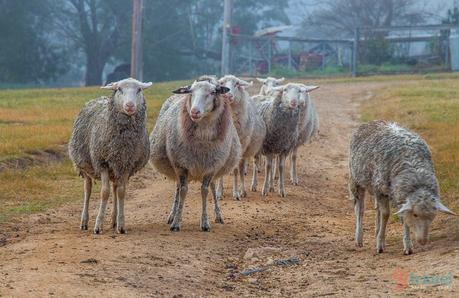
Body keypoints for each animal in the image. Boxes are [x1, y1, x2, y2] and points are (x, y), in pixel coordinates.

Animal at [68, 76, 153, 233]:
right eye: (119, 89)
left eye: (139, 89)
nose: (130, 105)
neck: (122, 143)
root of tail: (98, 98)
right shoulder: (102, 163)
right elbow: (104, 192)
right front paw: (98, 226)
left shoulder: (126, 164)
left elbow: (121, 192)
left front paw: (121, 225)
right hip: (85, 164)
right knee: (87, 189)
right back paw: (84, 221)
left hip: (116, 168)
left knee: (115, 188)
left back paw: (114, 221)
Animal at [150, 80, 243, 232]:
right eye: (191, 92)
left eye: (212, 92)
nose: (194, 111)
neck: (202, 142)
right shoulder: (181, 165)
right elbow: (183, 191)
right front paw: (176, 222)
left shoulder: (211, 167)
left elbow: (205, 191)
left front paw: (205, 222)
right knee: (177, 188)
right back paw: (172, 214)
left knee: (212, 187)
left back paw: (218, 216)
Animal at [350, 120, 454, 255]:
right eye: (415, 215)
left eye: (432, 216)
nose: (423, 241)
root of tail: (374, 121)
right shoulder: (380, 189)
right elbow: (386, 214)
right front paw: (380, 245)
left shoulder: (399, 195)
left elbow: (402, 217)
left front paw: (407, 245)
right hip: (356, 179)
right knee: (360, 209)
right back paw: (359, 239)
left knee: (377, 210)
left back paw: (377, 231)